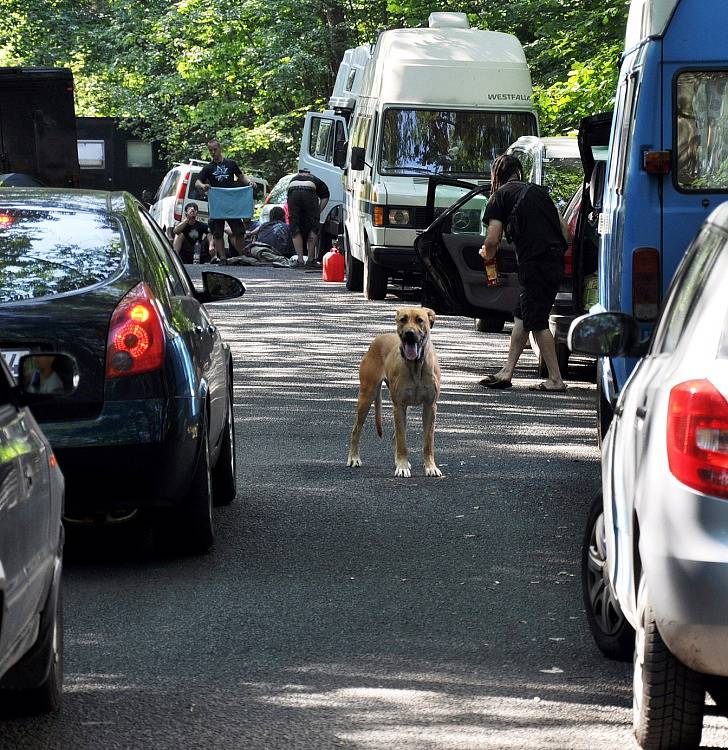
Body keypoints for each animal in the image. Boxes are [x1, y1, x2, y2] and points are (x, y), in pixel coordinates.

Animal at [346, 308, 440, 478]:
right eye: (403, 319)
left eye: (420, 320)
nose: (409, 333)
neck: (415, 365)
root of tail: (378, 338)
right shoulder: (399, 406)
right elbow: (402, 441)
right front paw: (402, 467)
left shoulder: (430, 406)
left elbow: (428, 442)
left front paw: (430, 467)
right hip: (366, 395)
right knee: (356, 429)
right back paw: (354, 458)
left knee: (396, 435)